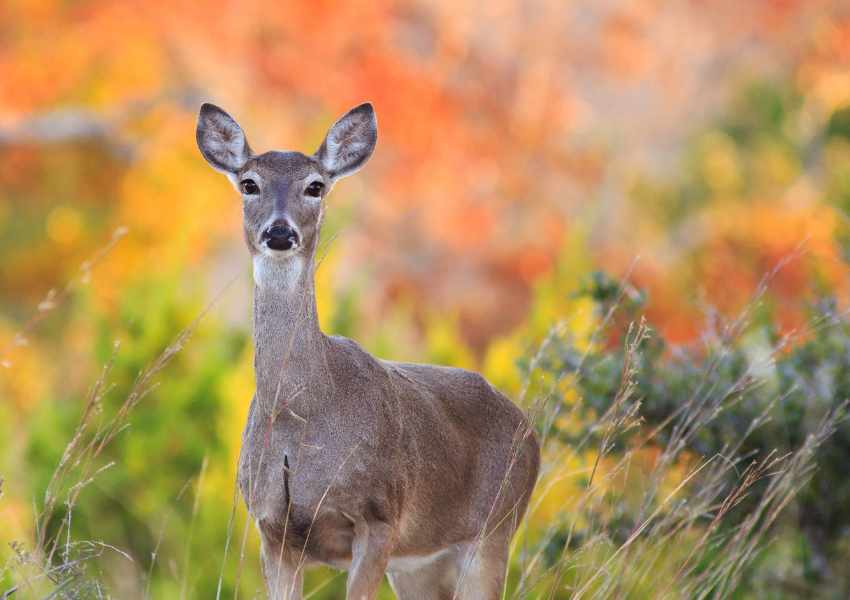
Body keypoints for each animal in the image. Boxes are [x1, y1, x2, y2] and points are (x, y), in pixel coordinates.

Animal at [196, 101, 540, 596]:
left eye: (315, 186)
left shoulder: (381, 516)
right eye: (249, 183)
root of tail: (531, 433)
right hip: (419, 564)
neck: (303, 412)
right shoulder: (272, 530)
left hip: (495, 531)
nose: (279, 233)